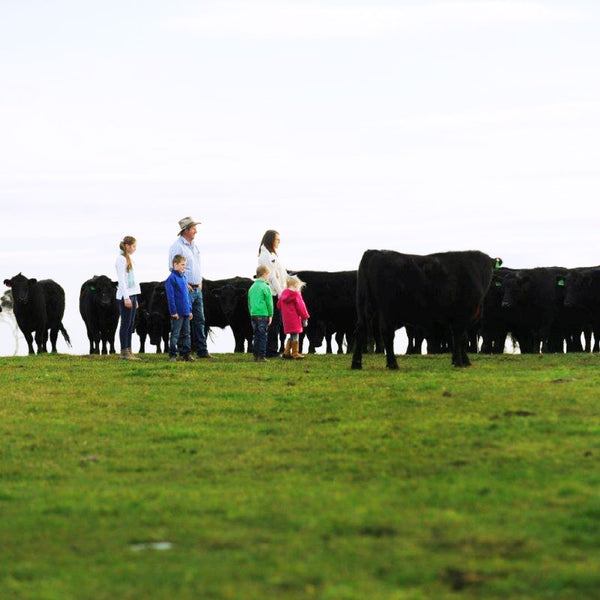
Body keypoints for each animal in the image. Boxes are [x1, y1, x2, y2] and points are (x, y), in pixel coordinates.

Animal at [350, 250, 500, 370]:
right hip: (386, 310)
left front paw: (460, 361)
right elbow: (460, 338)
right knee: (387, 333)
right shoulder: (462, 315)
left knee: (360, 330)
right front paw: (460, 362)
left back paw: (356, 364)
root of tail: (375, 252)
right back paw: (392, 364)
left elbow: (459, 339)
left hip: (363, 304)